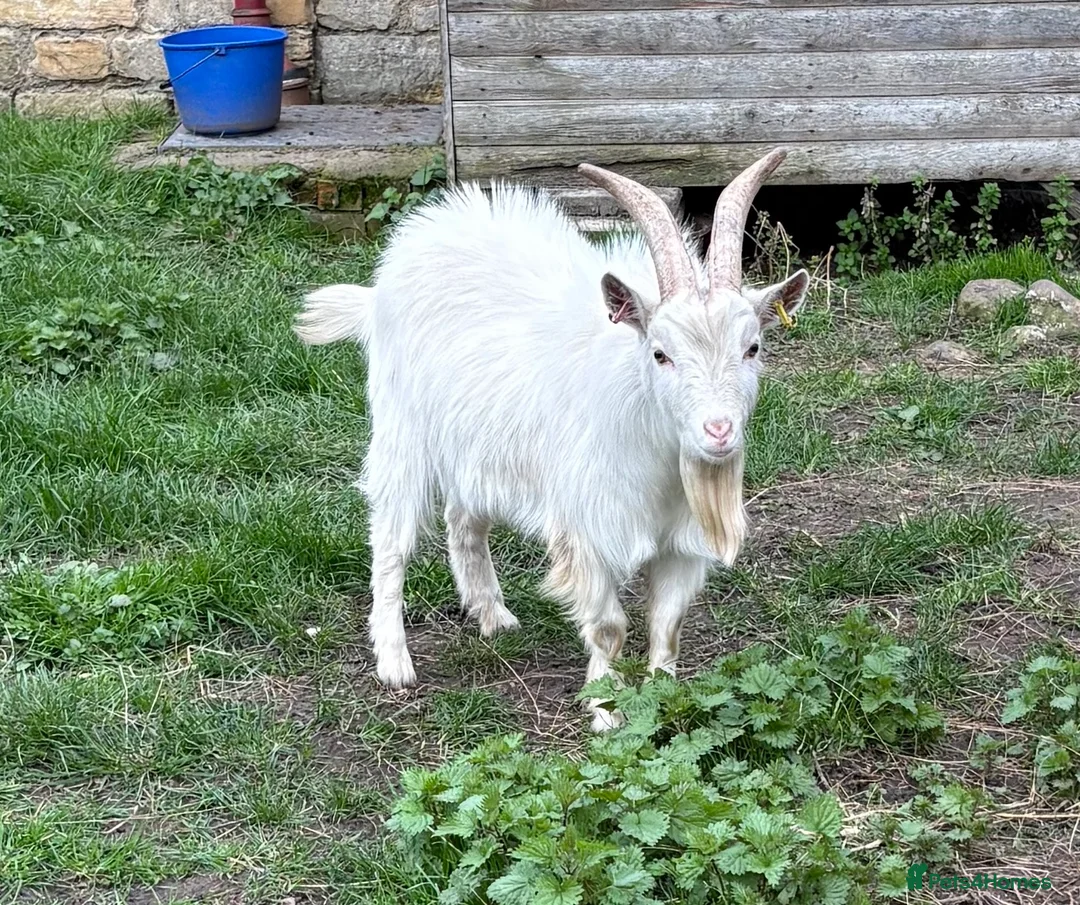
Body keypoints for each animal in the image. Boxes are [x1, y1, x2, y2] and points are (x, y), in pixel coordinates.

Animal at [294, 150, 809, 730]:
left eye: (753, 347)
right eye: (660, 353)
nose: (718, 432)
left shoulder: (682, 541)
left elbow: (667, 625)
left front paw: (663, 703)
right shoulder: (587, 530)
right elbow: (609, 627)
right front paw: (606, 713)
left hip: (477, 446)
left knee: (463, 520)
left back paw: (493, 615)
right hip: (402, 432)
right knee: (391, 539)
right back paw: (394, 660)